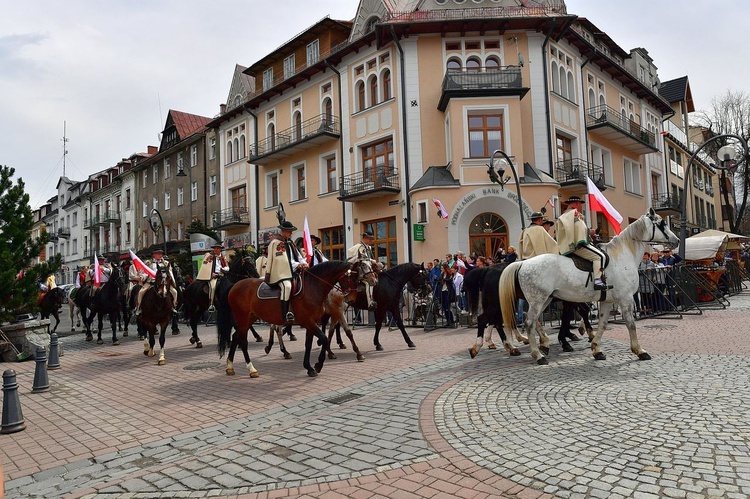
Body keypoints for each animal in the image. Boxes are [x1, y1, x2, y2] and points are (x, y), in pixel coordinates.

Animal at [217, 262, 358, 378]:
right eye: (351, 278)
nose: (351, 299)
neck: (312, 287)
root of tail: (234, 286)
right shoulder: (308, 322)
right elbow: (324, 339)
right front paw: (318, 365)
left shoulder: (311, 323)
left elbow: (308, 344)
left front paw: (309, 367)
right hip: (243, 318)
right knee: (242, 340)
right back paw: (252, 369)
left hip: (249, 318)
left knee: (236, 337)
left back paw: (230, 367)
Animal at [500, 209, 680, 366]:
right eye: (662, 223)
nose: (677, 240)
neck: (622, 256)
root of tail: (523, 263)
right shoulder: (626, 298)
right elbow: (631, 324)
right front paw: (639, 351)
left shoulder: (607, 301)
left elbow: (602, 324)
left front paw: (596, 349)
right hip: (538, 300)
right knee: (530, 323)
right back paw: (538, 355)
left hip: (545, 300)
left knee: (533, 320)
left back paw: (543, 345)